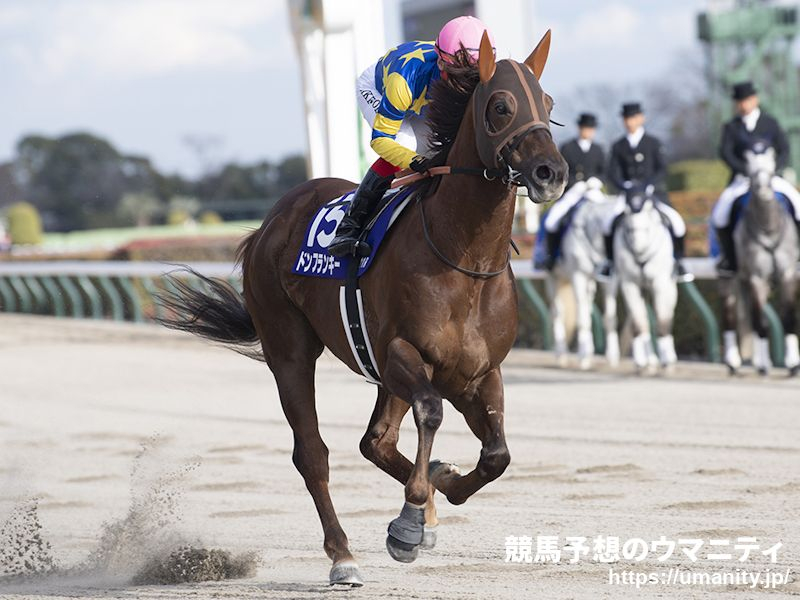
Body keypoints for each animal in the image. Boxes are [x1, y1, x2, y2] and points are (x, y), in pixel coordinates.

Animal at [548, 178, 620, 370]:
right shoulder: (578, 276)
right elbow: (582, 319)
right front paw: (583, 357)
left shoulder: (609, 280)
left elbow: (610, 317)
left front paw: (612, 357)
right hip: (554, 279)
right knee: (558, 312)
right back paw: (561, 354)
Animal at [616, 190, 680, 372]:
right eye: (629, 229)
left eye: (647, 228)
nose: (638, 254)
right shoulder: (630, 284)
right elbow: (639, 322)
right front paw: (642, 361)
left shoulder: (660, 284)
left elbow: (662, 321)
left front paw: (666, 361)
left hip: (669, 289)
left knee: (667, 317)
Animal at [720, 147, 800, 376]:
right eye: (750, 167)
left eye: (772, 170)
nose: (763, 189)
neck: (768, 227)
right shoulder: (757, 278)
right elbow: (761, 323)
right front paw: (765, 365)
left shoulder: (788, 275)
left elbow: (788, 318)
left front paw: (793, 364)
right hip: (730, 280)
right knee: (731, 315)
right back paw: (734, 362)